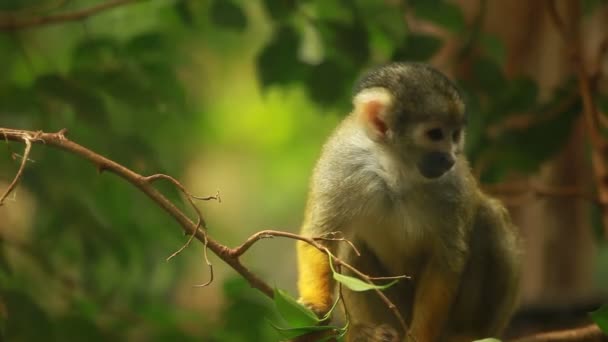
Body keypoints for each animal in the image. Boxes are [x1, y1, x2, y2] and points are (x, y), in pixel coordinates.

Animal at [296, 62, 524, 340]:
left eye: (455, 135)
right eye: (435, 134)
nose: (449, 158)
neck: (395, 169)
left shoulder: (451, 186)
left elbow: (446, 261)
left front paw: (419, 337)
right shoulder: (343, 160)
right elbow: (321, 237)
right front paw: (316, 306)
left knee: (489, 217)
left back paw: (467, 333)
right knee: (353, 244)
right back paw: (367, 332)